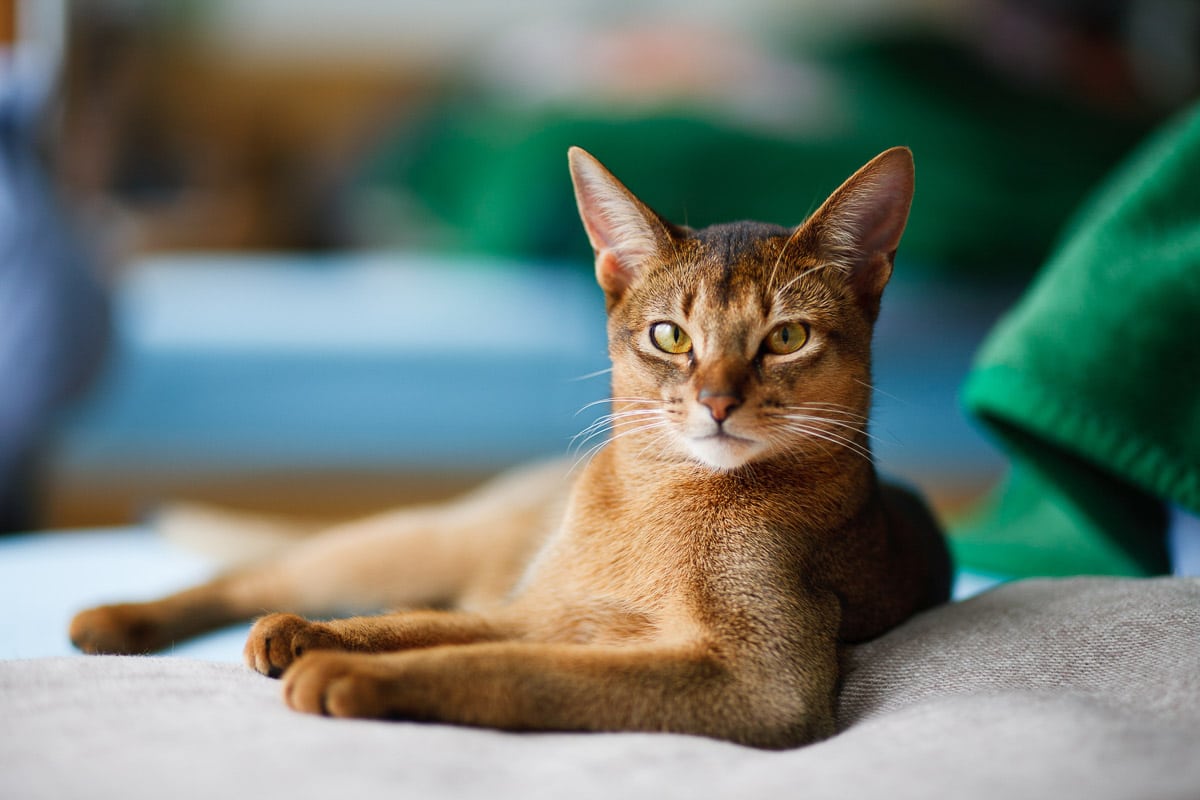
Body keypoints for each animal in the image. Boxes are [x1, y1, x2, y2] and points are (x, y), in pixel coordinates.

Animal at [70, 145, 950, 753]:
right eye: (671, 336)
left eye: (787, 338)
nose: (717, 401)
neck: (659, 500)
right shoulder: (539, 610)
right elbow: (420, 627)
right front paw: (328, 641)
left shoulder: (760, 680)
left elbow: (507, 668)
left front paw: (350, 670)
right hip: (420, 541)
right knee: (268, 571)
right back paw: (125, 619)